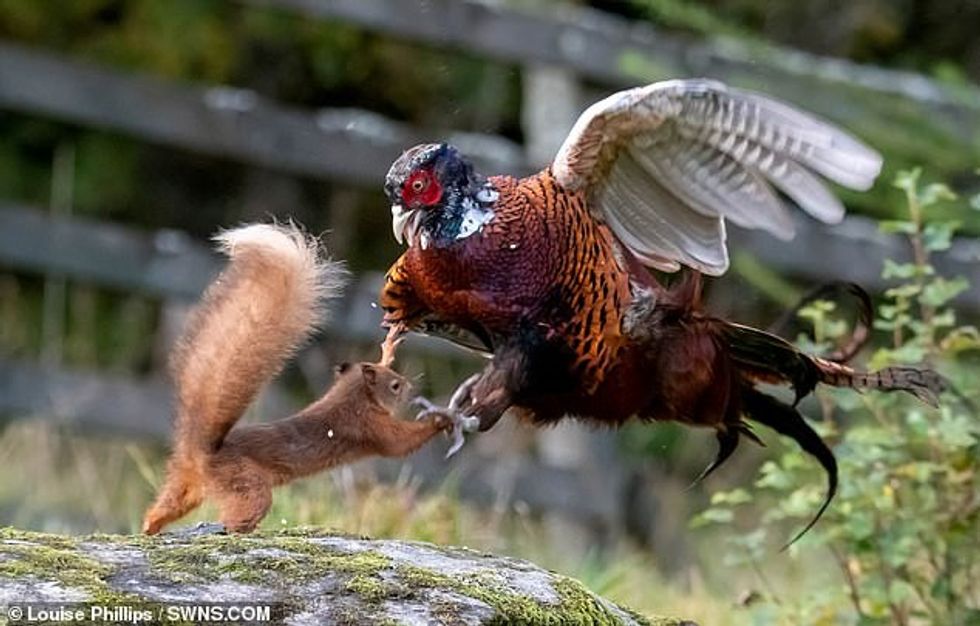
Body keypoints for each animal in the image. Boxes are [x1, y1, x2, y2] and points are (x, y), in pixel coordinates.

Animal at [142, 223, 452, 535]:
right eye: (395, 386)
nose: (410, 387)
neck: (350, 395)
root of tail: (202, 453)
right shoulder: (369, 427)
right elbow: (400, 443)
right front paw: (442, 419)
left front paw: (389, 346)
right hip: (247, 485)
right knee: (236, 515)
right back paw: (234, 529)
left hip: (185, 486)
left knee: (165, 506)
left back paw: (149, 528)